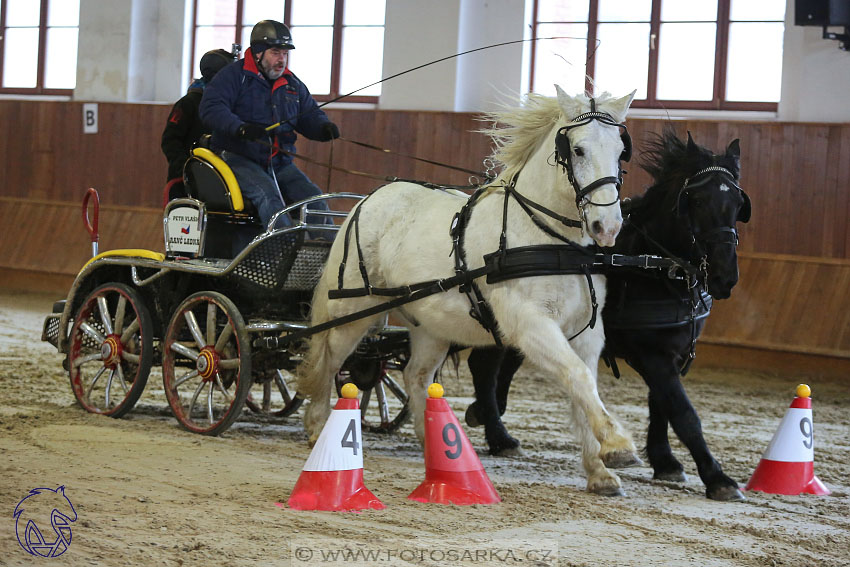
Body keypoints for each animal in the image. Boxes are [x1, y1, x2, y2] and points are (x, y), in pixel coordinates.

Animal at [298, 86, 636, 494]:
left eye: (620, 150)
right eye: (579, 149)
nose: (607, 226)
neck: (550, 241)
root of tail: (369, 199)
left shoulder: (587, 332)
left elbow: (583, 387)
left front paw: (600, 468)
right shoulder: (531, 326)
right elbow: (578, 377)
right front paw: (618, 445)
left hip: (430, 325)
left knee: (416, 376)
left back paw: (434, 446)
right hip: (353, 309)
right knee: (331, 357)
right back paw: (317, 426)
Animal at [468, 129, 752, 502]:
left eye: (737, 203)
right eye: (698, 201)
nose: (724, 276)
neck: (650, 265)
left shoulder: (670, 351)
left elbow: (661, 405)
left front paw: (665, 461)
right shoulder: (650, 354)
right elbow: (683, 412)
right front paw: (717, 477)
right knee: (484, 367)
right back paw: (496, 431)